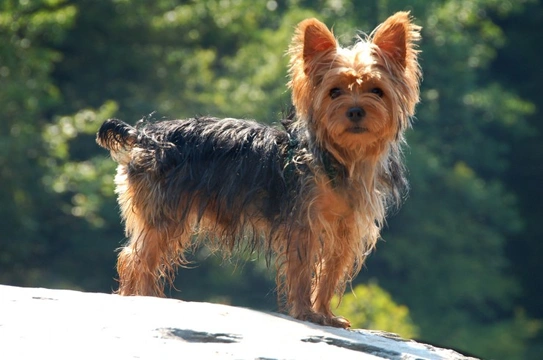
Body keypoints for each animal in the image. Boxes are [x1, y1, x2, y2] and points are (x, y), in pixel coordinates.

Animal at [96, 11, 420, 328]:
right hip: (164, 212)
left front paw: (325, 315)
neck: (342, 157)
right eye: (334, 92)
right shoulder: (303, 223)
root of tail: (145, 135)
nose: (355, 110)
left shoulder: (345, 228)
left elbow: (330, 272)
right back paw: (141, 297)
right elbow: (302, 269)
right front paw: (305, 313)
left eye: (377, 91)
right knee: (136, 259)